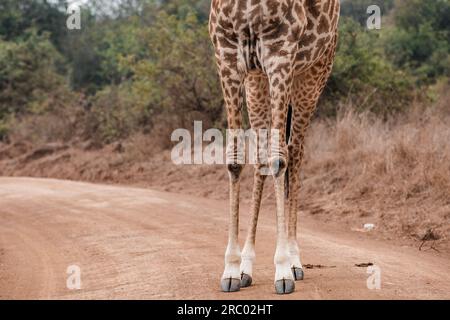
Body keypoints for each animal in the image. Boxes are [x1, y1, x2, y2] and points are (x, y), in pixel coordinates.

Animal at [209, 0, 340, 296]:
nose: (238, 267)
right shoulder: (227, 54)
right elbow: (235, 159)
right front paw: (231, 269)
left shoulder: (280, 54)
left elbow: (279, 160)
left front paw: (282, 270)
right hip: (256, 79)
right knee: (262, 158)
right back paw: (247, 266)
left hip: (312, 74)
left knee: (294, 153)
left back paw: (294, 260)